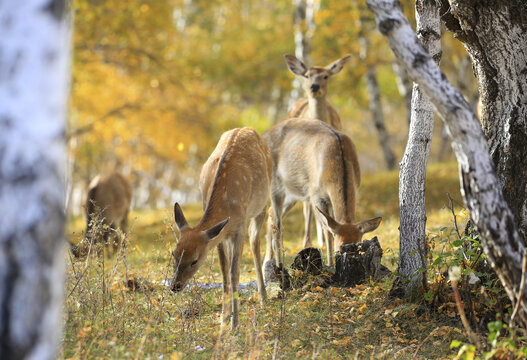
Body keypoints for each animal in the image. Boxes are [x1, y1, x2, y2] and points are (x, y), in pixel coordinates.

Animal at [171, 128, 272, 330]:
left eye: (194, 261)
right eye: (174, 254)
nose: (175, 286)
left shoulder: (239, 225)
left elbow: (234, 273)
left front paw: (235, 324)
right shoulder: (219, 234)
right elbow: (224, 271)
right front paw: (223, 320)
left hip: (263, 202)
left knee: (255, 241)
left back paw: (263, 298)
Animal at [266, 118, 382, 268]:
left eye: (359, 246)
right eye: (340, 249)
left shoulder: (356, 189)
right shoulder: (316, 193)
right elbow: (327, 230)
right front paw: (331, 265)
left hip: (293, 193)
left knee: (271, 213)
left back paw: (267, 262)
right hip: (275, 184)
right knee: (276, 222)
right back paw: (278, 266)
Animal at [282, 53, 352, 252]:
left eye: (326, 76)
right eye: (307, 75)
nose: (314, 86)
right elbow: (310, 206)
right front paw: (307, 242)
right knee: (307, 204)